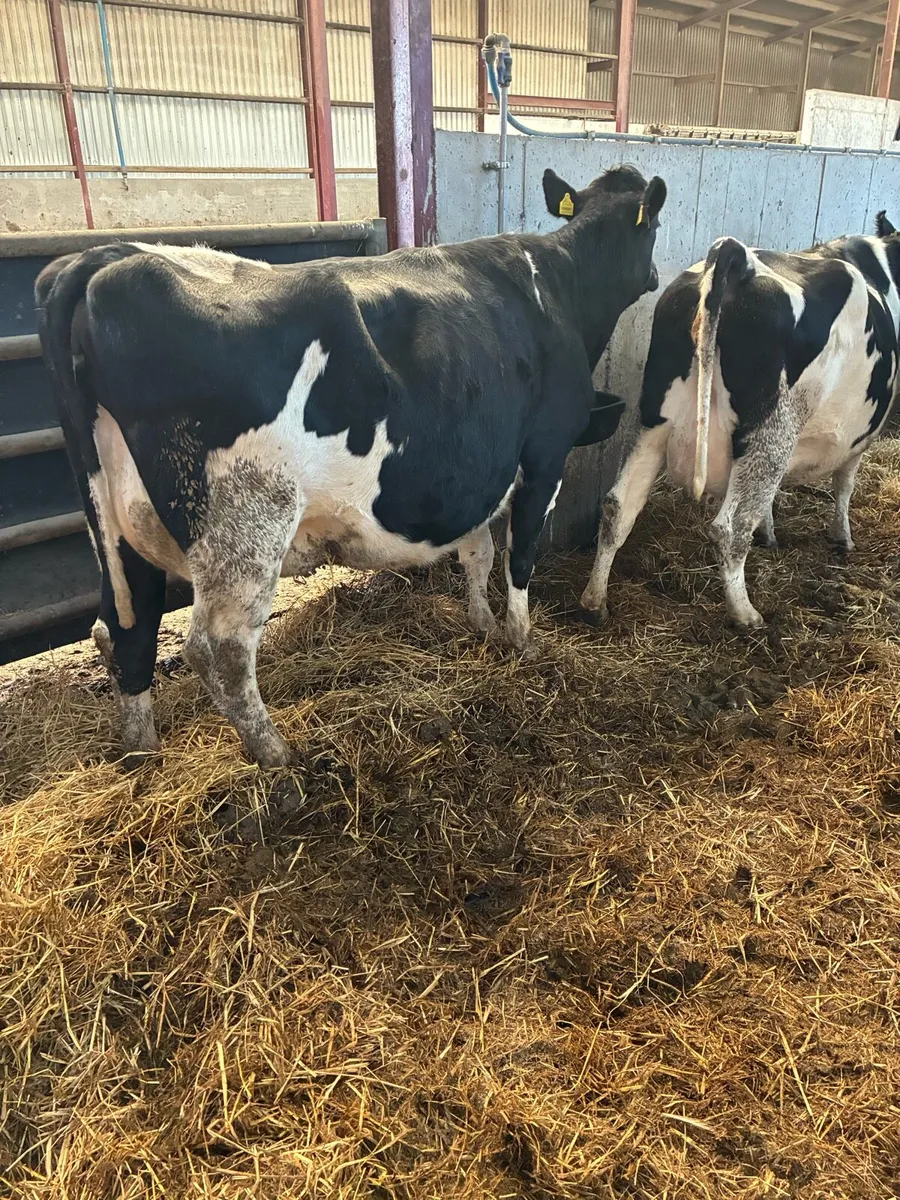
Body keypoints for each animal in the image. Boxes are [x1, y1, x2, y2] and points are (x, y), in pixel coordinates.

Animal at [36, 164, 667, 766]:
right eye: (655, 226)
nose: (657, 277)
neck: (560, 286)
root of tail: (103, 261)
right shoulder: (545, 452)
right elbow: (520, 555)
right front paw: (521, 638)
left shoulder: (481, 472)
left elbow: (478, 551)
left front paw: (483, 625)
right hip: (246, 520)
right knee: (219, 648)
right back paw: (278, 757)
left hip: (116, 527)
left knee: (123, 627)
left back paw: (141, 753)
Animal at [579, 212, 900, 630]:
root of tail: (737, 258)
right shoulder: (861, 436)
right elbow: (844, 484)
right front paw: (841, 538)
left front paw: (770, 534)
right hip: (771, 431)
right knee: (729, 529)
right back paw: (746, 615)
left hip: (654, 421)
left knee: (619, 505)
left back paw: (594, 602)